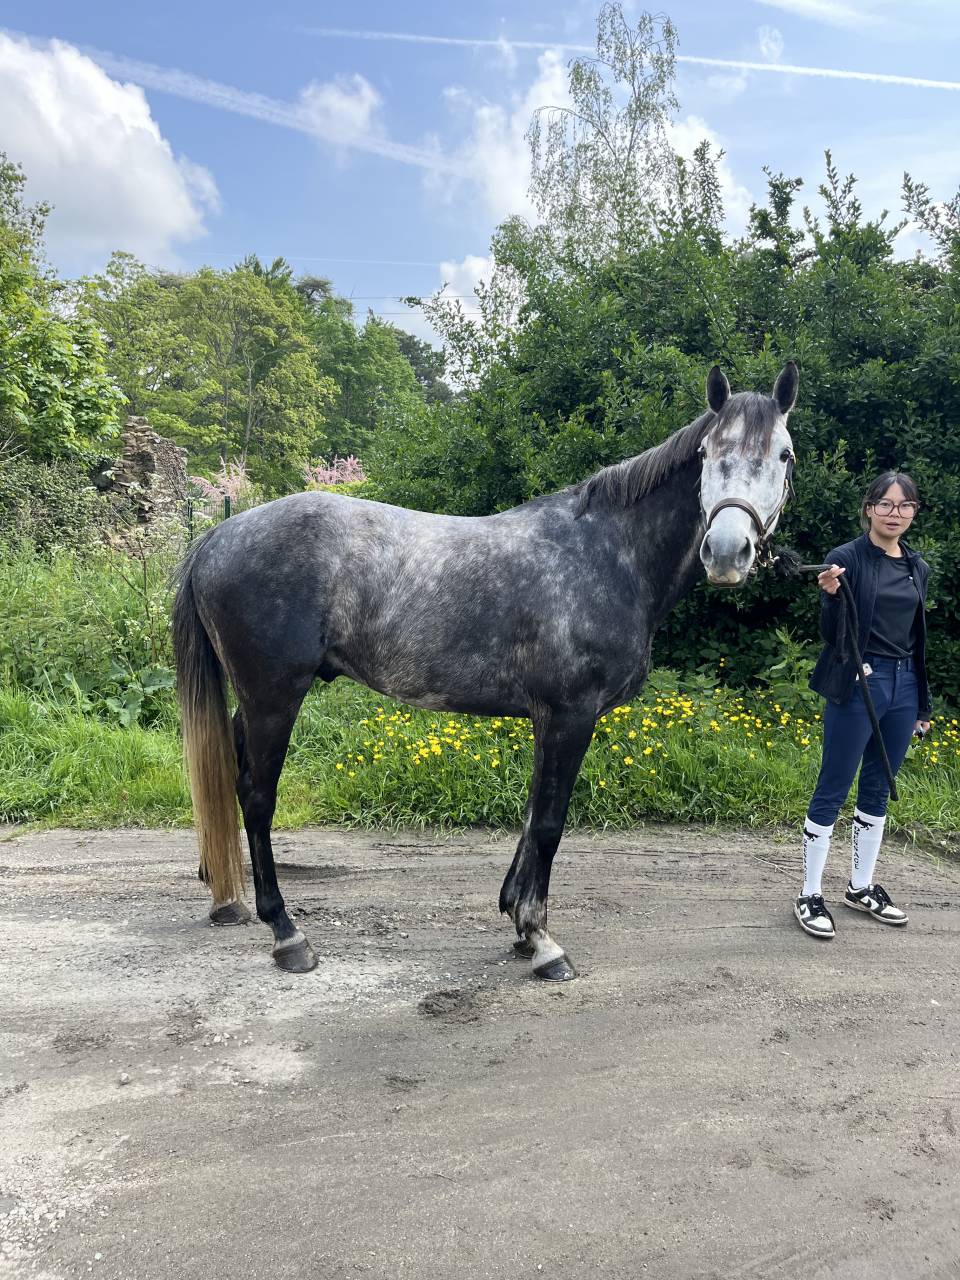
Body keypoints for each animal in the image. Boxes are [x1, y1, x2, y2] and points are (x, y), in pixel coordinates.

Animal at [172, 363, 798, 980]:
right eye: (709, 451)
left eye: (785, 454)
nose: (727, 552)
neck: (608, 554)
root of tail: (216, 536)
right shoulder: (570, 715)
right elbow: (549, 823)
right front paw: (542, 941)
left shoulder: (549, 719)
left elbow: (532, 814)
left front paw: (518, 923)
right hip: (274, 698)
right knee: (256, 797)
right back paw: (287, 934)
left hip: (253, 702)